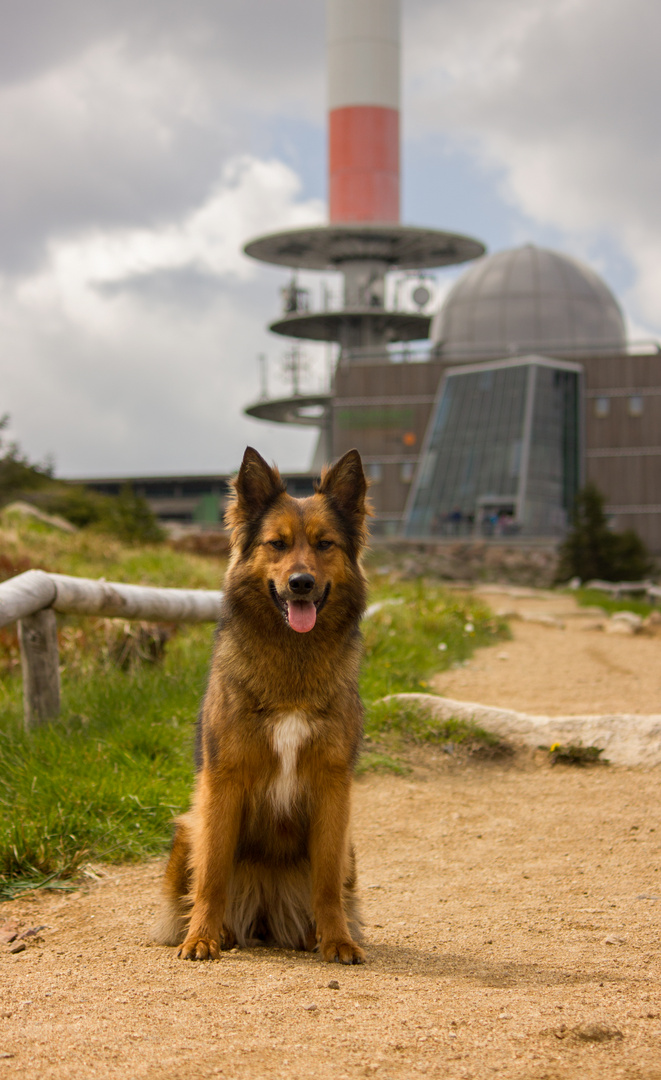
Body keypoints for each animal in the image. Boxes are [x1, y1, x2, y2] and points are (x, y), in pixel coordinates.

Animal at [156, 442, 369, 967]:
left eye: (324, 544)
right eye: (277, 544)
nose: (301, 583)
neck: (292, 659)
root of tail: (266, 908)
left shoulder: (333, 786)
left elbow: (326, 883)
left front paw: (337, 940)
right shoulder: (224, 781)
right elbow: (212, 875)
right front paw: (201, 938)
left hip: (350, 846)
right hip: (188, 828)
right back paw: (221, 931)